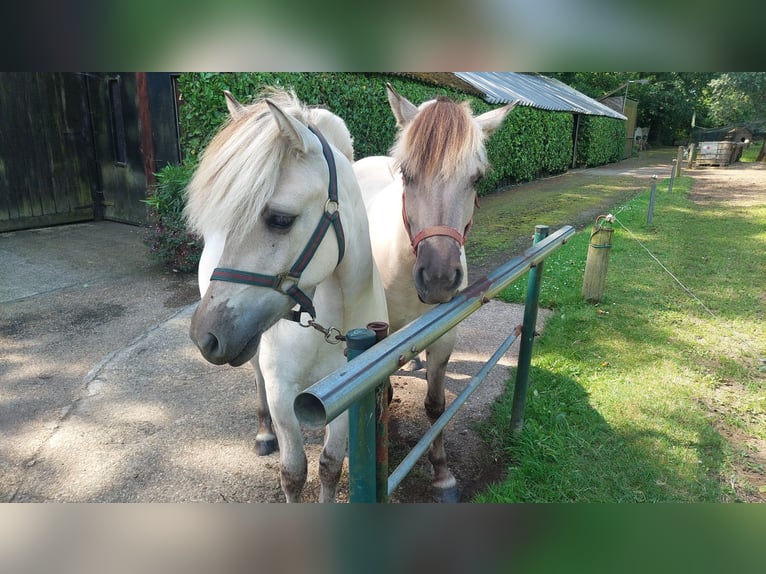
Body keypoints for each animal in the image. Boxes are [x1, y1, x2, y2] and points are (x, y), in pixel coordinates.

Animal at [186, 88, 388, 502]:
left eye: (280, 219)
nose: (204, 336)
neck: (334, 319)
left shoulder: (345, 391)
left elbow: (330, 465)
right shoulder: (282, 393)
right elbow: (293, 473)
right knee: (257, 380)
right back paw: (264, 435)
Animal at [353, 83, 515, 501]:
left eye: (476, 179)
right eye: (407, 175)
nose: (440, 279)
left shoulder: (444, 338)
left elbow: (436, 405)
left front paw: (442, 474)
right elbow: (383, 394)